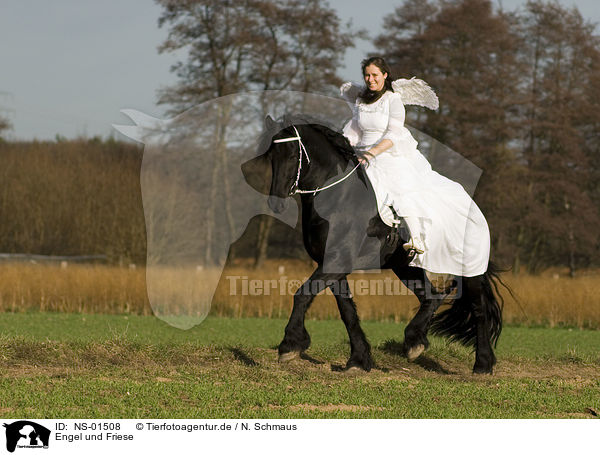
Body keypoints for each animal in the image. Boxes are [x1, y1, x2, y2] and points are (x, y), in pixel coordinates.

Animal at [256, 116, 502, 376]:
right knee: (432, 296)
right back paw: (415, 342)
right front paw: (358, 359)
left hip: (469, 270)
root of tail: (474, 207)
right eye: (271, 156)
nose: (276, 203)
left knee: (478, 310)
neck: (339, 199)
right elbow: (347, 311)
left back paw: (482, 364)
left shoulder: (336, 262)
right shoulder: (332, 265)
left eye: (293, 155)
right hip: (405, 266)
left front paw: (289, 345)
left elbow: (303, 294)